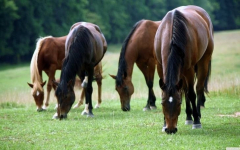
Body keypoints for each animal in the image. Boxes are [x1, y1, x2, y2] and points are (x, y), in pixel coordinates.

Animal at [154, 5, 214, 134]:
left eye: (178, 103)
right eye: (162, 103)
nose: (170, 129)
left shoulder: (189, 69)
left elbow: (191, 94)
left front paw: (197, 121)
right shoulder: (160, 67)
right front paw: (164, 124)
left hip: (203, 61)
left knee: (198, 88)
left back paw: (197, 115)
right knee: (185, 89)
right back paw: (188, 117)